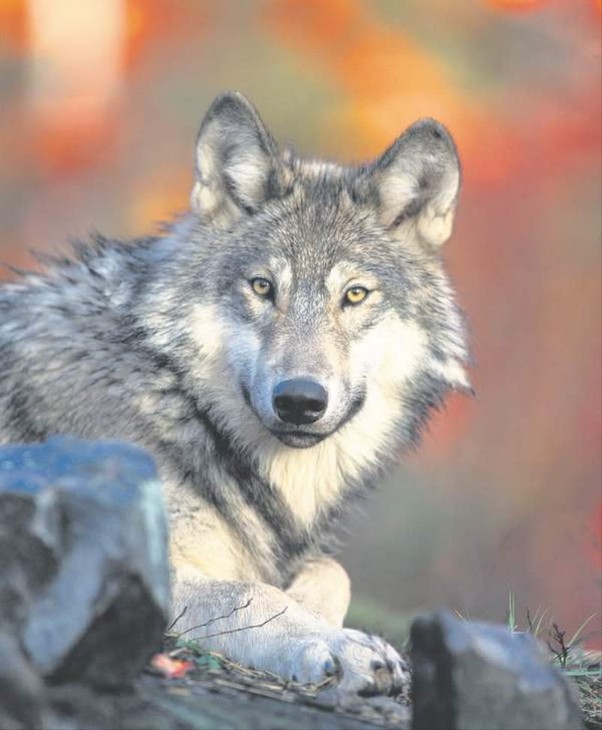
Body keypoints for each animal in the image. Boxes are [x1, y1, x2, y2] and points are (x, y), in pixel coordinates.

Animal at [0, 94, 468, 696]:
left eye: (355, 295)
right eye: (263, 287)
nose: (300, 400)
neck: (177, 399)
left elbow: (330, 571)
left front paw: (325, 620)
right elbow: (250, 592)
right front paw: (339, 645)